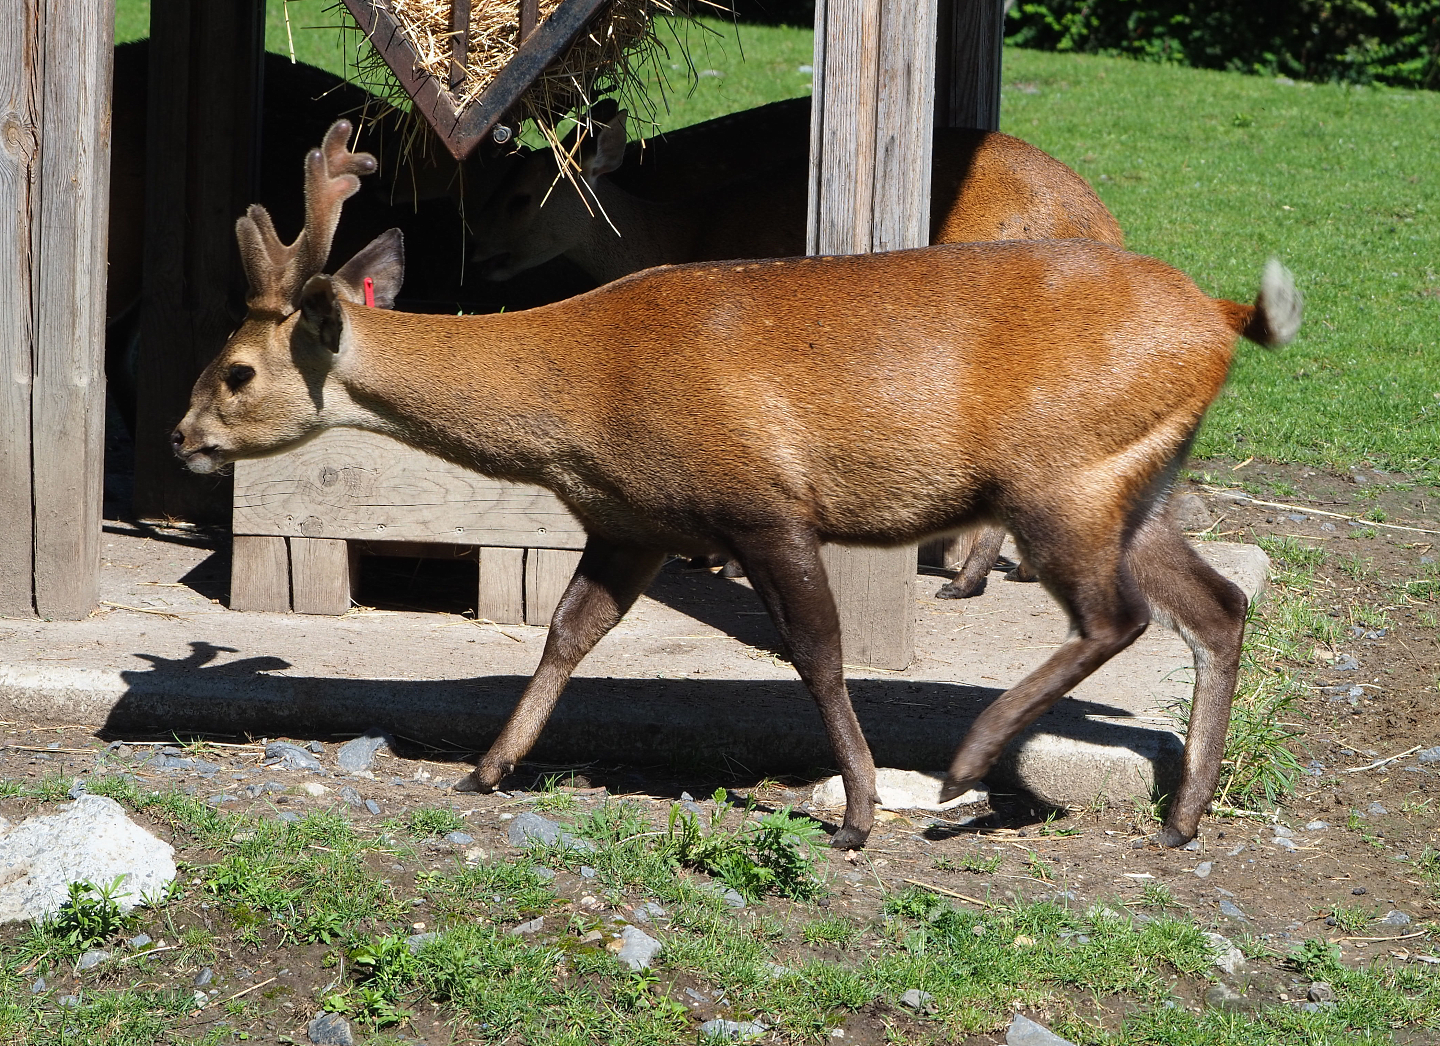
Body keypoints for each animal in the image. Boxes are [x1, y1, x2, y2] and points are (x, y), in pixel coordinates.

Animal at [470, 100, 1125, 596]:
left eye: (521, 195)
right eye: (497, 186)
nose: (479, 252)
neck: (683, 233)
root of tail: (1103, 226)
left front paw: (725, 562)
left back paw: (970, 579)